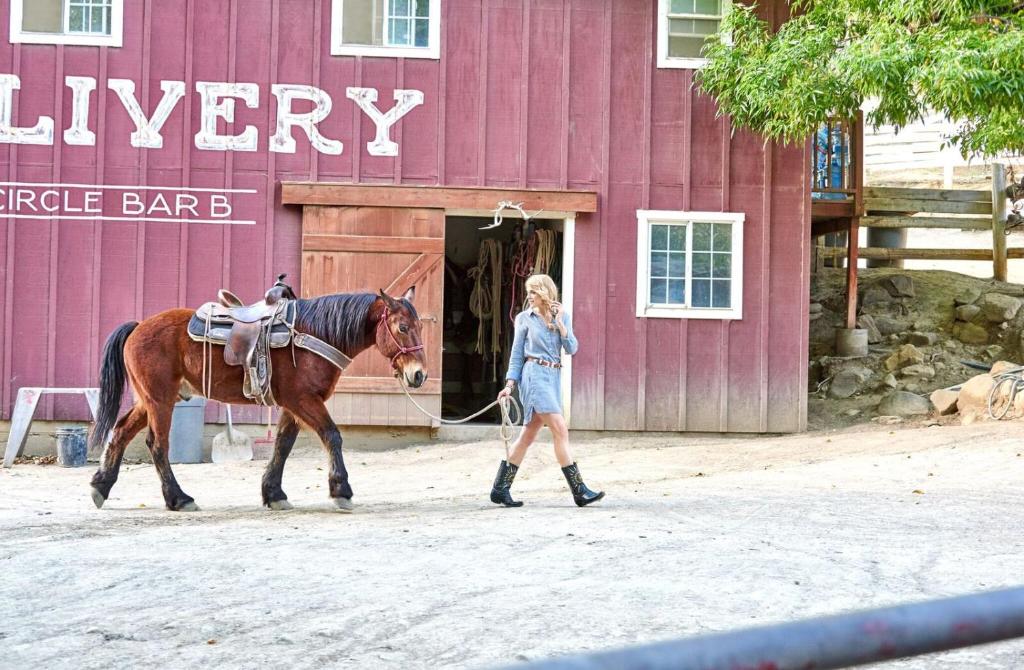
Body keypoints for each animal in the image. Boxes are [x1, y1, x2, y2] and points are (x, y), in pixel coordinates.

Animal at [88, 286, 423, 512]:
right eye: (402, 327)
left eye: (420, 326)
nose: (419, 374)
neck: (313, 334)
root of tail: (138, 327)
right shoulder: (304, 400)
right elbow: (332, 435)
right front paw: (341, 490)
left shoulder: (293, 404)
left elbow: (283, 445)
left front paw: (274, 494)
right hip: (160, 400)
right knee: (157, 445)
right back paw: (179, 498)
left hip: (149, 400)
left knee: (120, 432)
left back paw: (100, 486)